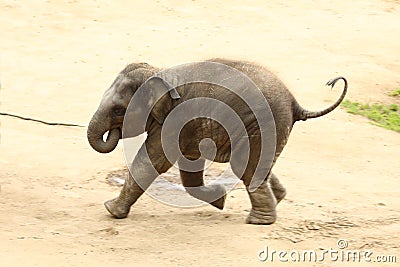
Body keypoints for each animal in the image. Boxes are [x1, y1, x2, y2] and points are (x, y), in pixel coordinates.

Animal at [87, 59, 346, 226]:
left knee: (245, 166)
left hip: (262, 122)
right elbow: (188, 165)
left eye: (119, 110)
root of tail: (294, 103)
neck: (159, 72)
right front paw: (220, 199)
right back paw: (278, 199)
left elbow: (153, 160)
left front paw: (110, 210)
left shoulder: (175, 120)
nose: (114, 132)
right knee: (258, 165)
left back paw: (259, 221)